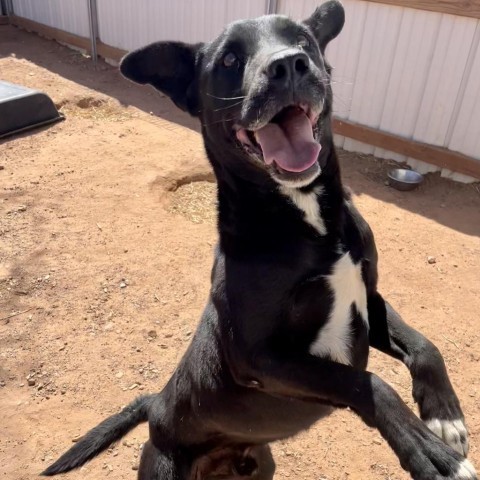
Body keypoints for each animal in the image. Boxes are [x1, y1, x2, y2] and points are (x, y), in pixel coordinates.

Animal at [42, 1, 476, 478]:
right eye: (230, 60)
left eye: (303, 41)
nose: (288, 64)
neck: (310, 221)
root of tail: (156, 405)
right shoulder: (259, 357)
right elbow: (367, 381)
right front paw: (430, 453)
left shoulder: (368, 294)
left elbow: (424, 344)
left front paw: (445, 416)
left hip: (262, 461)